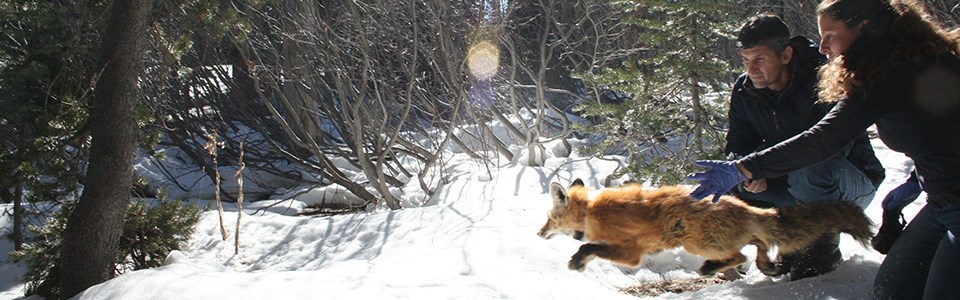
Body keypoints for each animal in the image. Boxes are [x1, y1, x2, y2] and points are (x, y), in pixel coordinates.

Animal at [536, 178, 872, 276]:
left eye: (549, 218)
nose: (538, 233)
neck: (591, 214)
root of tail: (742, 205)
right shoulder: (636, 252)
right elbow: (590, 245)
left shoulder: (632, 252)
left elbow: (587, 246)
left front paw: (577, 262)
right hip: (707, 241)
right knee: (759, 242)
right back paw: (765, 265)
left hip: (700, 243)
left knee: (743, 252)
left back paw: (713, 268)